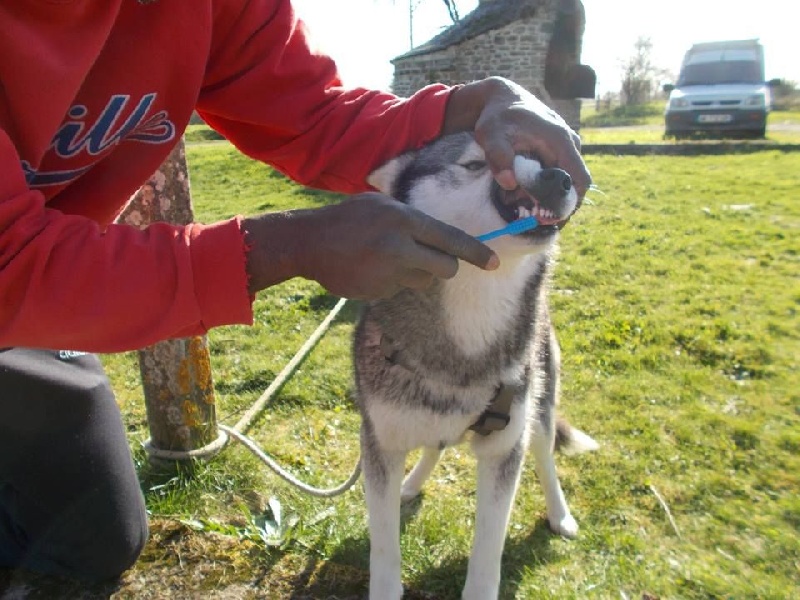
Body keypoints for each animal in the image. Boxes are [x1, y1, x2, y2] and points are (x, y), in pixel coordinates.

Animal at [354, 132, 596, 600]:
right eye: (474, 164)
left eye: (537, 156)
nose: (559, 176)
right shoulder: (380, 442)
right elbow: (384, 548)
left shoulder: (505, 447)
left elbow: (488, 551)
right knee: (435, 444)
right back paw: (412, 484)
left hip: (538, 407)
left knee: (545, 456)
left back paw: (560, 515)